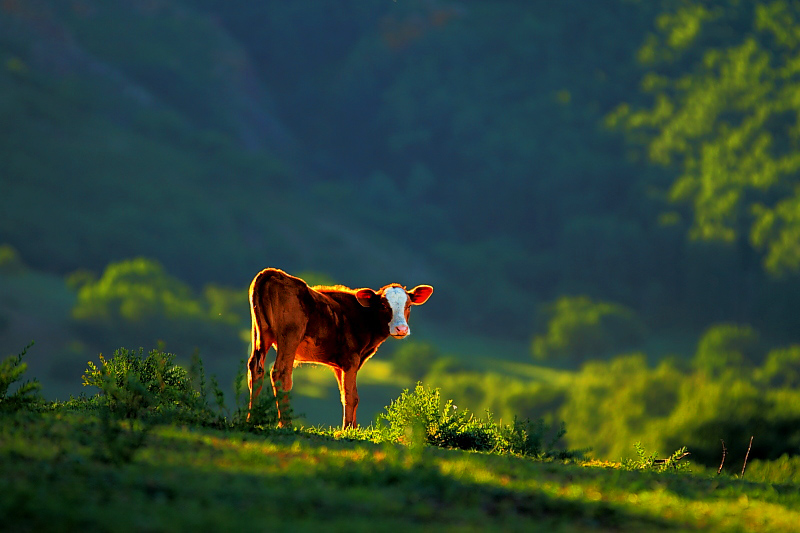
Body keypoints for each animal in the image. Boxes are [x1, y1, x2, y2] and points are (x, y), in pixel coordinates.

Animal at [248, 268, 432, 426]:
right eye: (384, 305)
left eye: (409, 305)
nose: (401, 329)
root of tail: (274, 273)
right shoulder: (351, 358)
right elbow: (352, 396)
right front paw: (348, 429)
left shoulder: (340, 364)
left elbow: (345, 394)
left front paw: (353, 428)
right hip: (290, 335)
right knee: (281, 373)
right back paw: (285, 424)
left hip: (260, 333)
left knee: (256, 369)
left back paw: (251, 419)